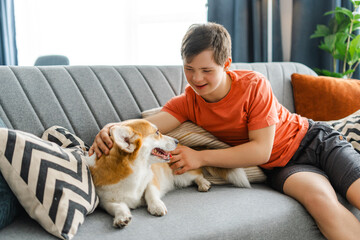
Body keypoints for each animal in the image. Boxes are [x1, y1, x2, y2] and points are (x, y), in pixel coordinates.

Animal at [86, 119, 250, 228]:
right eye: (157, 133)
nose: (176, 141)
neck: (136, 170)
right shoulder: (106, 201)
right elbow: (117, 207)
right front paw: (122, 218)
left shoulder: (151, 179)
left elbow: (150, 193)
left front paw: (156, 206)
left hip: (182, 173)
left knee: (197, 174)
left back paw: (203, 183)